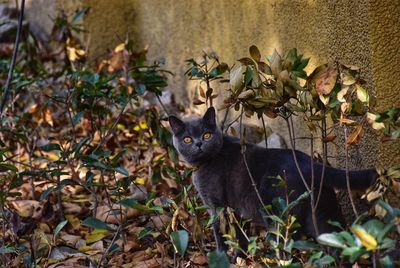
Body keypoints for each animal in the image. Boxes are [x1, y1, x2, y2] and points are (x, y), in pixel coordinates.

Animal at [169, 106, 378, 253]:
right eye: (187, 139)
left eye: (206, 135)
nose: (198, 143)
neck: (206, 162)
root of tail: (309, 163)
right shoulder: (236, 209)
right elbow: (241, 236)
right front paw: (241, 256)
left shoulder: (217, 206)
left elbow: (221, 232)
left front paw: (222, 255)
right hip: (322, 211)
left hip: (277, 212)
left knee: (289, 244)